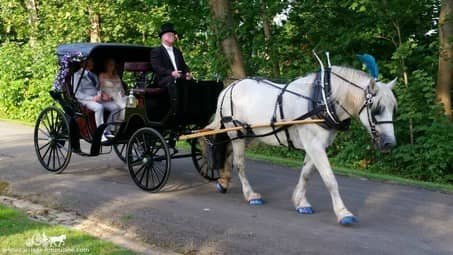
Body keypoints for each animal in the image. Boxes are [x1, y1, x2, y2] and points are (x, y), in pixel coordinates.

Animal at [205, 65, 396, 225]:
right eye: (376, 109)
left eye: (393, 109)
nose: (389, 143)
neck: (322, 100)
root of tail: (229, 87)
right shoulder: (314, 144)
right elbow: (329, 179)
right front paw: (343, 212)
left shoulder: (316, 145)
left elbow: (306, 174)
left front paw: (300, 202)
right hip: (236, 133)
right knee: (239, 163)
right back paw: (250, 194)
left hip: (248, 134)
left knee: (228, 154)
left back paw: (223, 182)